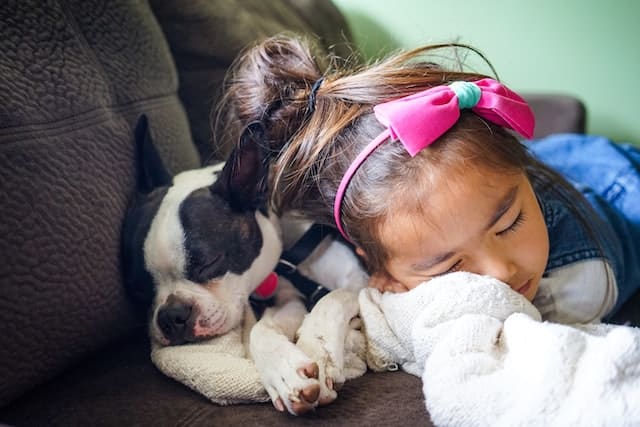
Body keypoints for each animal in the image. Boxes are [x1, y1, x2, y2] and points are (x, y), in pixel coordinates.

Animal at [122, 117, 368, 414]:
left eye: (210, 262)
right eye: (139, 289)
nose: (171, 315)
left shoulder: (360, 278)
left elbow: (331, 300)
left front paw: (319, 351)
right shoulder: (286, 296)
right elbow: (261, 330)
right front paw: (284, 373)